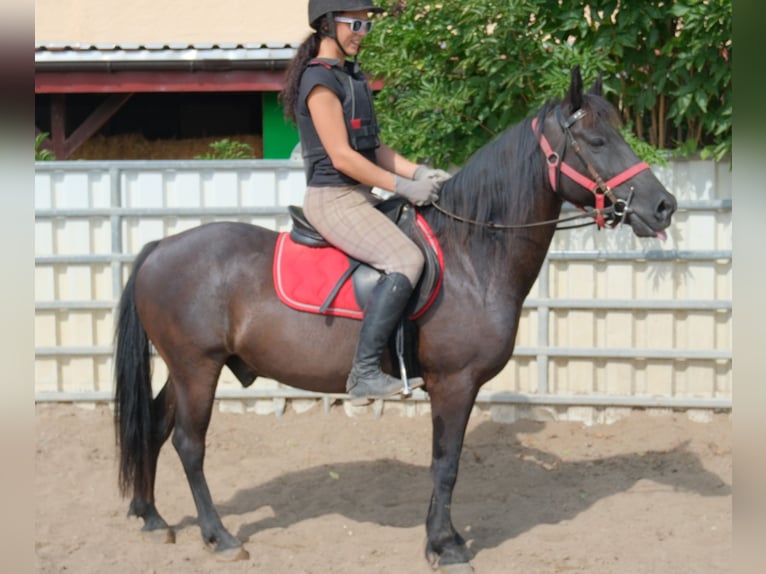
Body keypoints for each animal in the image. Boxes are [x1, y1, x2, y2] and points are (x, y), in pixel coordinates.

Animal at [114, 66, 676, 572]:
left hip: (184, 369)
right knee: (189, 444)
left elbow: (443, 464)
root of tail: (161, 246)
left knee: (155, 427)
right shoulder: (455, 382)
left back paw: (151, 517)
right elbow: (446, 464)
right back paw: (219, 536)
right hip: (198, 368)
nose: (664, 206)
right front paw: (445, 547)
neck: (472, 253)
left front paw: (440, 538)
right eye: (597, 141)